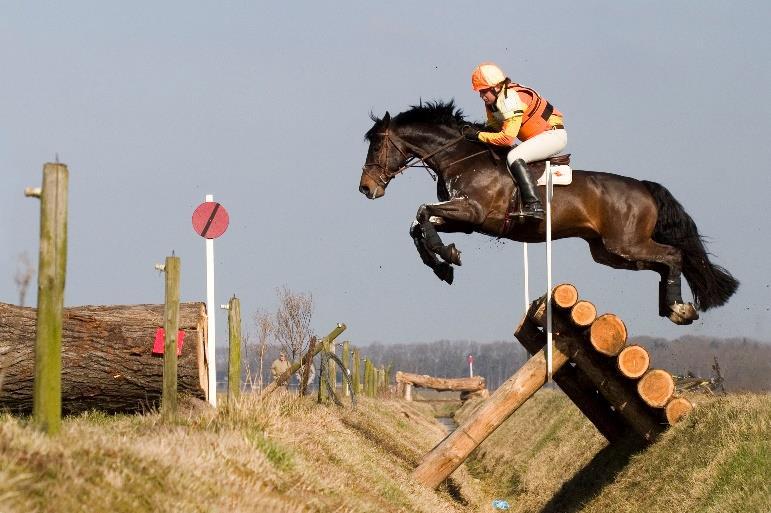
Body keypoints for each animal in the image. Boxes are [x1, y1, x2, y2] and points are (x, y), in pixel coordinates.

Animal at [358, 100, 740, 324]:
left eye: (376, 146)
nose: (366, 189)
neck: (461, 157)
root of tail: (644, 187)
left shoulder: (474, 212)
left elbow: (422, 213)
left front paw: (447, 258)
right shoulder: (463, 220)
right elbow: (418, 225)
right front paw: (442, 264)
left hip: (625, 243)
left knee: (674, 255)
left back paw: (678, 309)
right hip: (610, 252)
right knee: (662, 263)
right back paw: (671, 306)